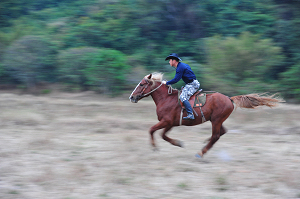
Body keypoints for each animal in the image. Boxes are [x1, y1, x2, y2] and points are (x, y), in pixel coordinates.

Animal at [129, 72, 282, 158]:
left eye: (142, 84)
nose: (132, 97)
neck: (166, 99)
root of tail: (229, 99)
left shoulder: (166, 122)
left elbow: (152, 130)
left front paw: (155, 147)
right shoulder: (170, 123)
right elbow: (163, 135)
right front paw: (178, 143)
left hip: (216, 120)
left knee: (216, 136)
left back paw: (201, 152)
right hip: (217, 120)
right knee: (221, 132)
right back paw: (204, 144)